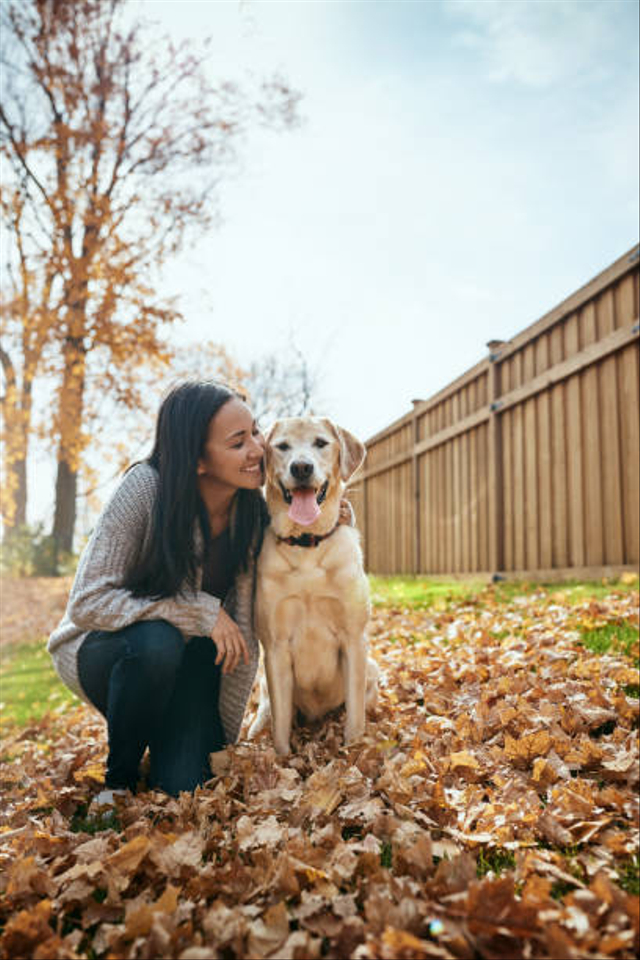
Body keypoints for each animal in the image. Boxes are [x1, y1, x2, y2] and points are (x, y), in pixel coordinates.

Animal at [249, 416, 380, 752]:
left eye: (320, 443)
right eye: (282, 446)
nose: (301, 467)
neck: (307, 543)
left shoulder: (353, 639)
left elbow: (355, 713)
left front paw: (353, 748)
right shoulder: (276, 646)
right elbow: (281, 722)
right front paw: (281, 757)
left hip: (371, 666)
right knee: (267, 708)